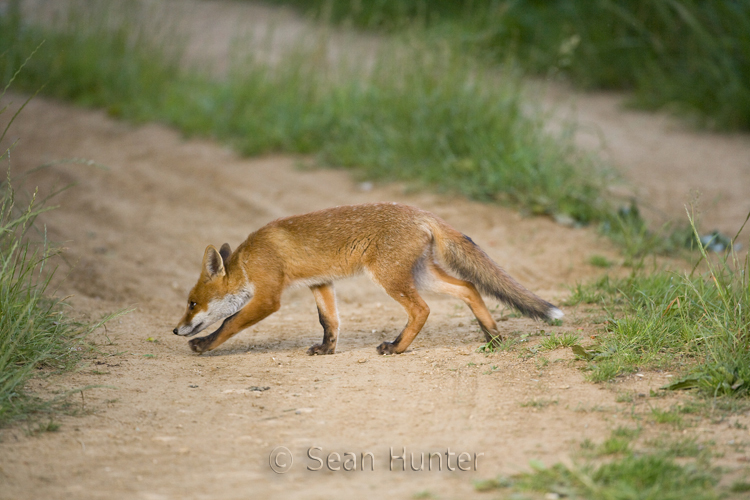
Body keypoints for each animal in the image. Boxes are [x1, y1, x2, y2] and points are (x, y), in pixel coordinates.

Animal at [173, 203, 564, 356]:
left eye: (192, 303)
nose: (176, 330)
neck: (248, 262)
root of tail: (422, 212)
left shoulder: (269, 296)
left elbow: (229, 324)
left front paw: (202, 344)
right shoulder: (320, 283)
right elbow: (329, 321)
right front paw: (327, 350)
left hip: (389, 278)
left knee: (422, 310)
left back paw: (397, 347)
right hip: (422, 274)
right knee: (468, 288)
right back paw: (493, 336)